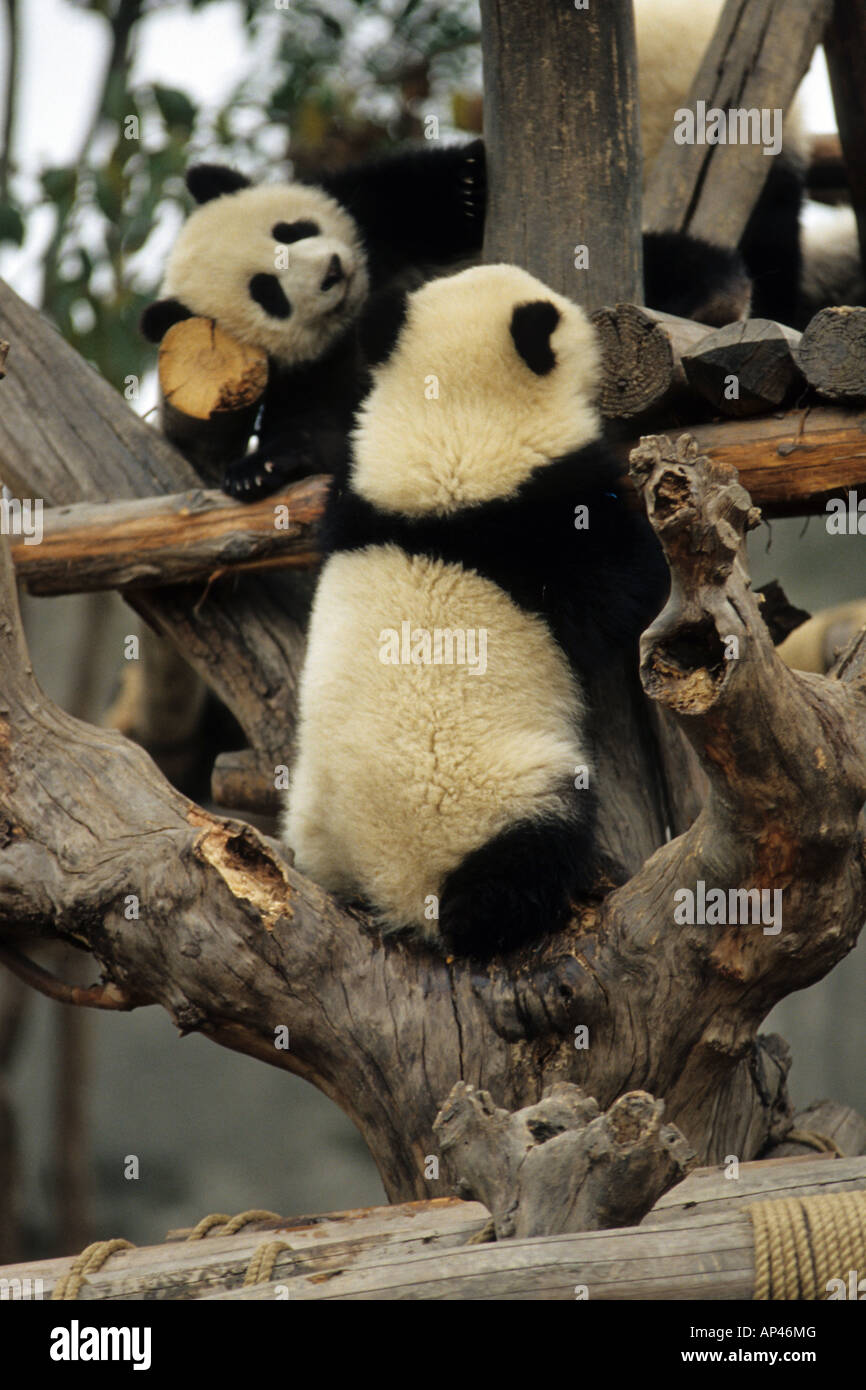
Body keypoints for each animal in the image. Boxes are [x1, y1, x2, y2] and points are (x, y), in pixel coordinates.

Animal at [283, 263, 669, 959]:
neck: (447, 420)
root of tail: (395, 892)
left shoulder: (353, 495)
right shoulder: (542, 518)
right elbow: (624, 588)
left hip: (311, 818)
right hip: (498, 793)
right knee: (533, 843)